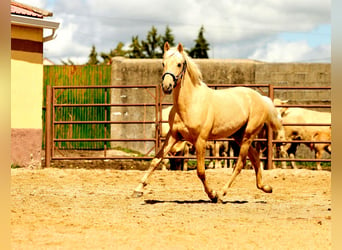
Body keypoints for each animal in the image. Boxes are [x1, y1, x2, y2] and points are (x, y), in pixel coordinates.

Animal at [132, 42, 282, 203]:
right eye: (163, 63)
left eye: (179, 64)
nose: (167, 86)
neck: (190, 103)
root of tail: (261, 98)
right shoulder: (173, 136)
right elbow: (156, 160)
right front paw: (137, 190)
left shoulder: (200, 140)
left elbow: (201, 171)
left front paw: (212, 194)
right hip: (238, 136)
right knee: (254, 157)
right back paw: (265, 187)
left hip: (248, 136)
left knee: (240, 164)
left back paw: (222, 194)